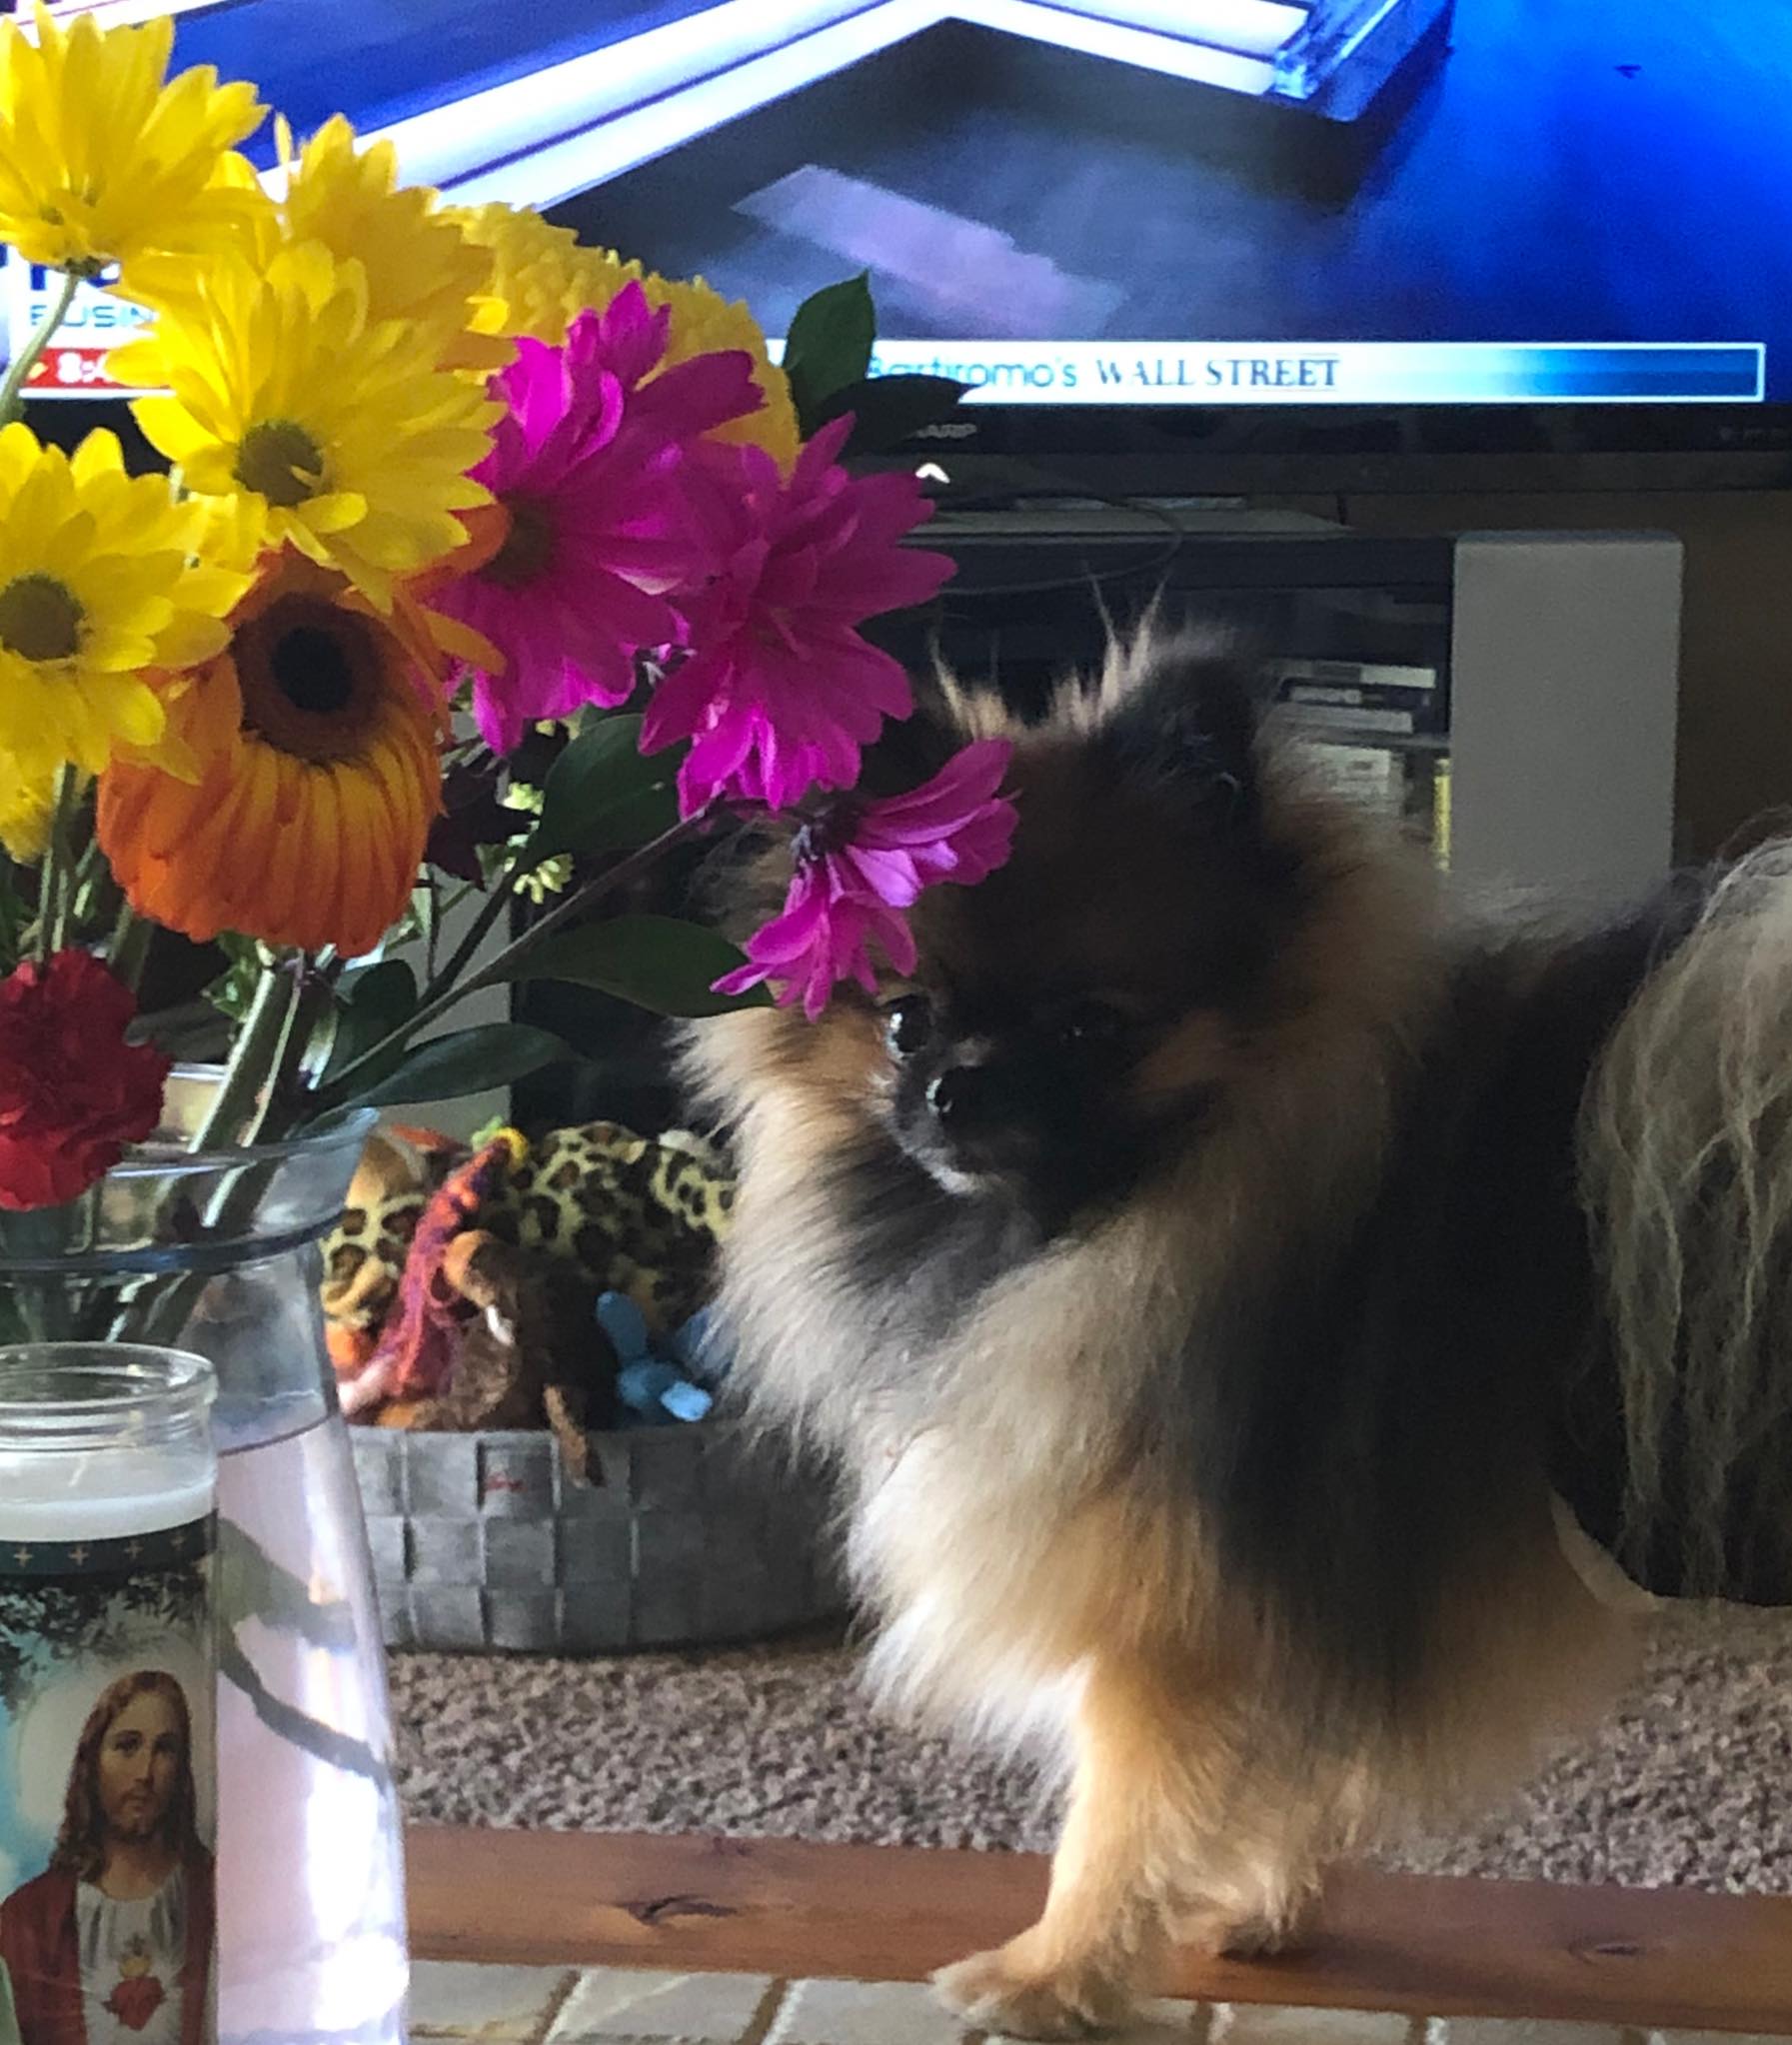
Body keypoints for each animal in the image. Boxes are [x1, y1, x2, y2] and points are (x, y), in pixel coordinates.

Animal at [683, 624, 1792, 2038]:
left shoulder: (1171, 1625)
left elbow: (1117, 1820)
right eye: (902, 1016)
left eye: (1090, 1024)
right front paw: (1258, 1912)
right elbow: (1288, 1774)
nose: (956, 1086)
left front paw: (1053, 1975)